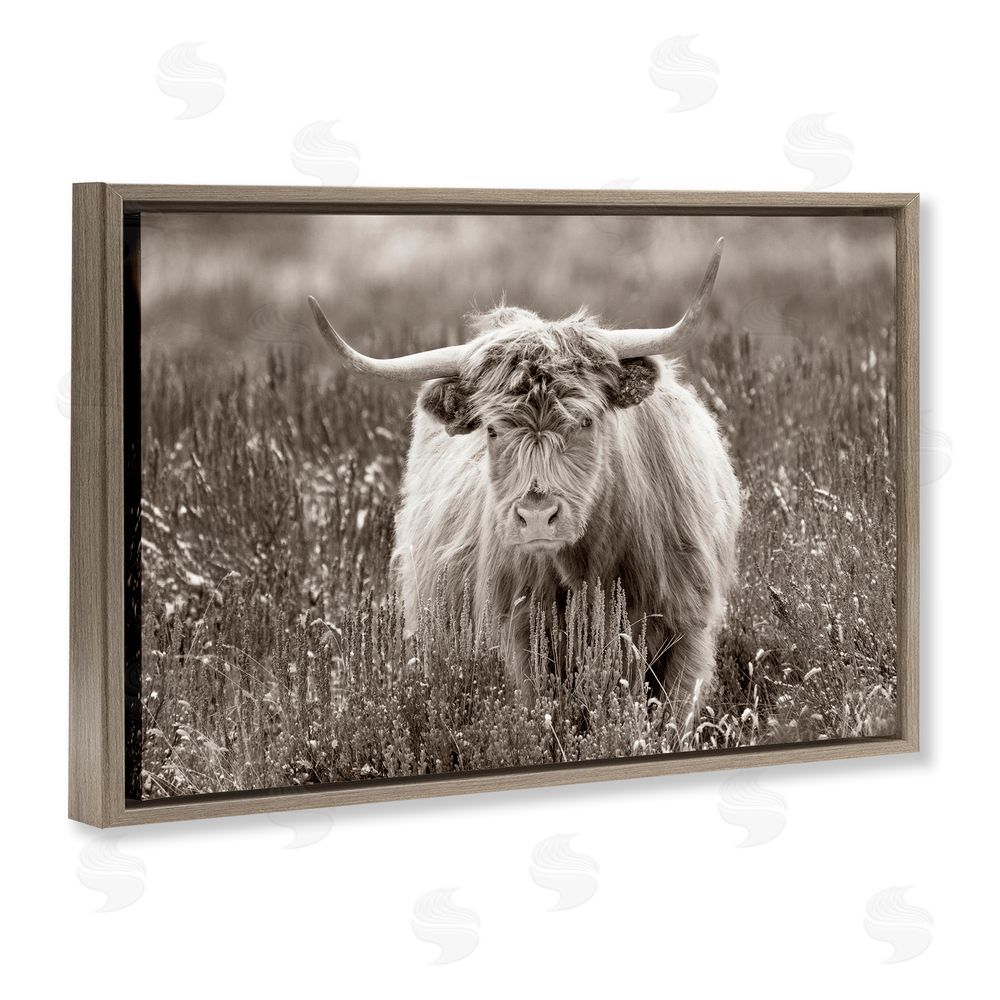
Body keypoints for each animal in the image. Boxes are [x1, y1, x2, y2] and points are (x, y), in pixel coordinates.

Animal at [307, 239, 740, 712]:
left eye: (585, 421)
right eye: (493, 430)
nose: (536, 517)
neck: (592, 567)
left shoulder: (688, 632)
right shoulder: (521, 640)